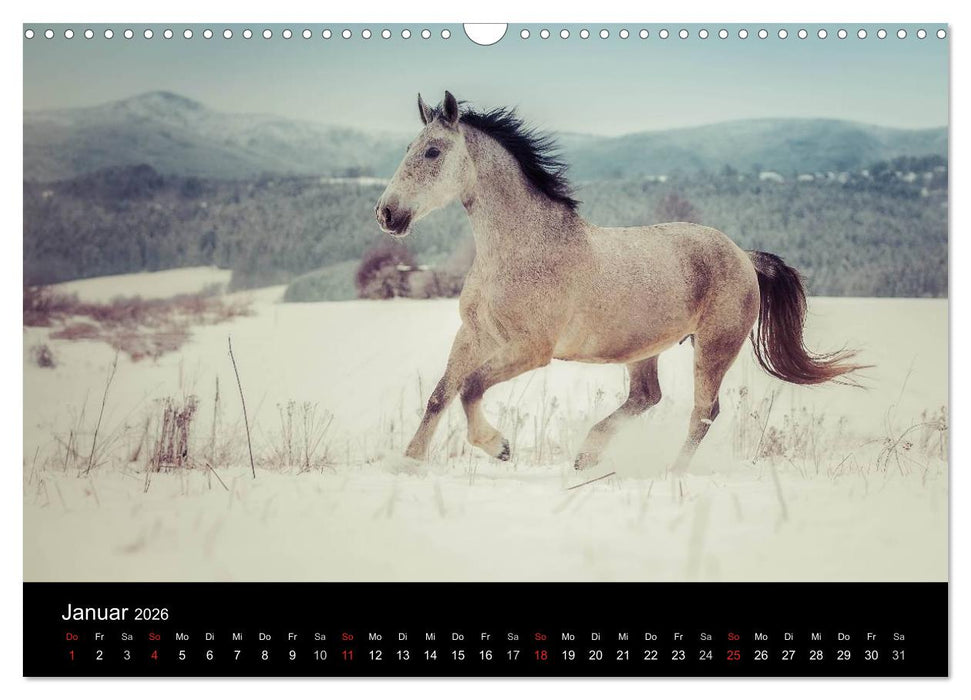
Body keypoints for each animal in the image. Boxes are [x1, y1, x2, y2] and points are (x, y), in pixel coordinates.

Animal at [375, 91, 864, 473]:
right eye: (408, 147)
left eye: (433, 152)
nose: (387, 214)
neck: (521, 249)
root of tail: (744, 256)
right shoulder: (475, 334)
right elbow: (441, 394)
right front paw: (408, 463)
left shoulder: (531, 348)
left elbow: (471, 387)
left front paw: (500, 448)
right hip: (643, 347)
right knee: (648, 396)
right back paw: (587, 456)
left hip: (713, 347)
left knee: (704, 412)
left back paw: (669, 472)